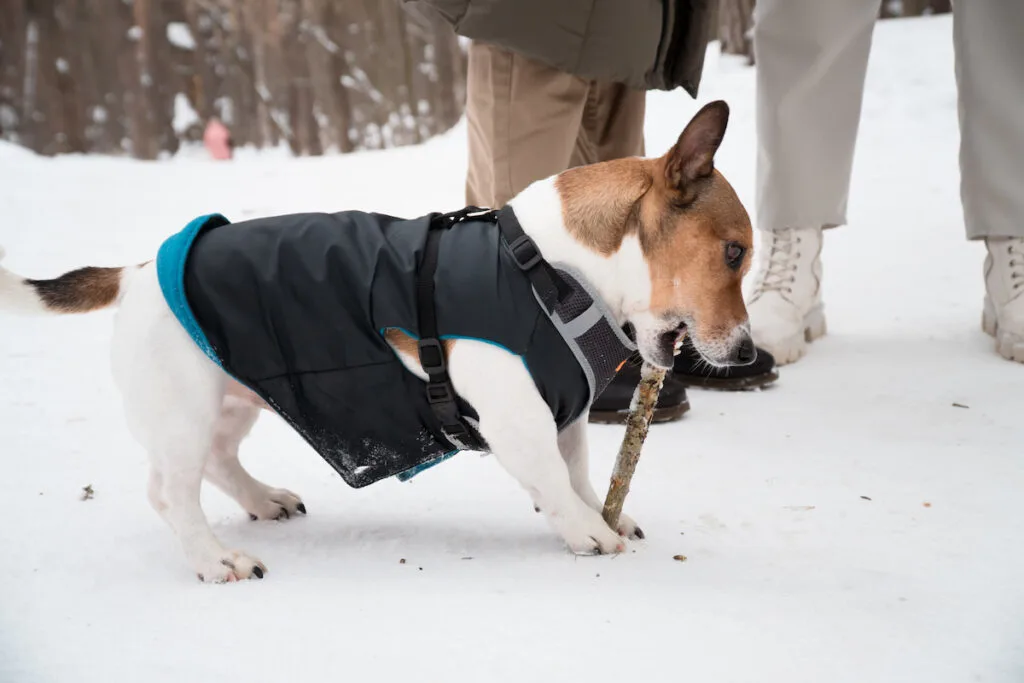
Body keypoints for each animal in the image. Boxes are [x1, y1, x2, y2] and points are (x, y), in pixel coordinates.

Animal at [0, 101, 753, 581]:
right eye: (735, 252)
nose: (747, 353)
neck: (553, 269)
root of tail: (133, 273)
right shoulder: (518, 419)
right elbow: (550, 479)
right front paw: (587, 530)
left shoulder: (562, 416)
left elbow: (575, 474)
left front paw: (600, 512)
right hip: (182, 407)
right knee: (171, 493)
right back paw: (217, 559)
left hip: (234, 393)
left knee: (219, 461)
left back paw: (262, 499)